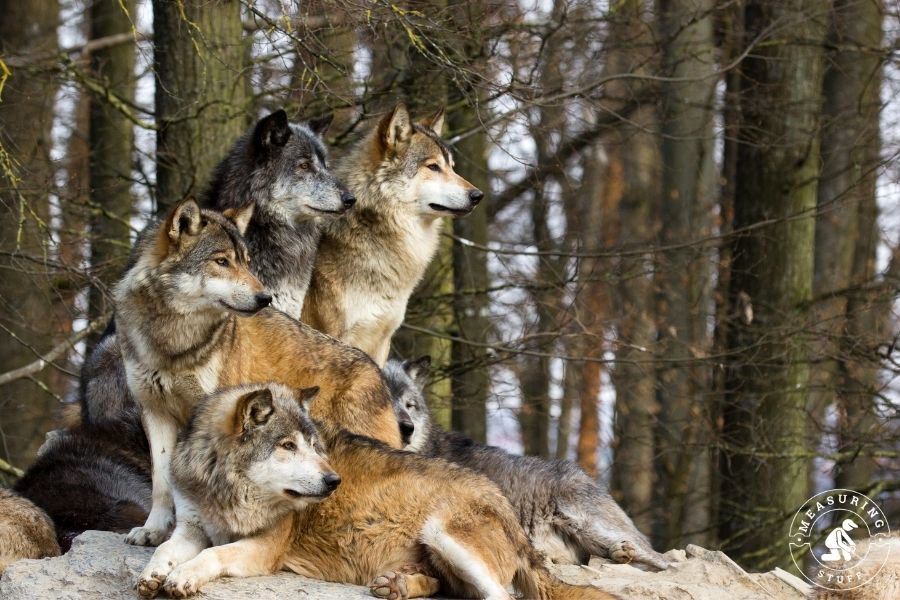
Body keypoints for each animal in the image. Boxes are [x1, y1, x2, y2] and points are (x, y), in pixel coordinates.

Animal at [114, 199, 401, 547]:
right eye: (222, 261)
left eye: (247, 262)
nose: (265, 298)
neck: (174, 342)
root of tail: (377, 371)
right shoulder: (154, 412)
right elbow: (161, 481)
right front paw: (153, 530)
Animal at [136, 383, 618, 600]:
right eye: (288, 446)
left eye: (314, 445)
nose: (333, 482)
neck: (225, 491)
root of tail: (509, 510)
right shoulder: (191, 526)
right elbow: (166, 550)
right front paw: (154, 574)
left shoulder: (264, 549)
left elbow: (213, 555)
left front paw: (182, 577)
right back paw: (397, 585)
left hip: (444, 533)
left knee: (499, 597)